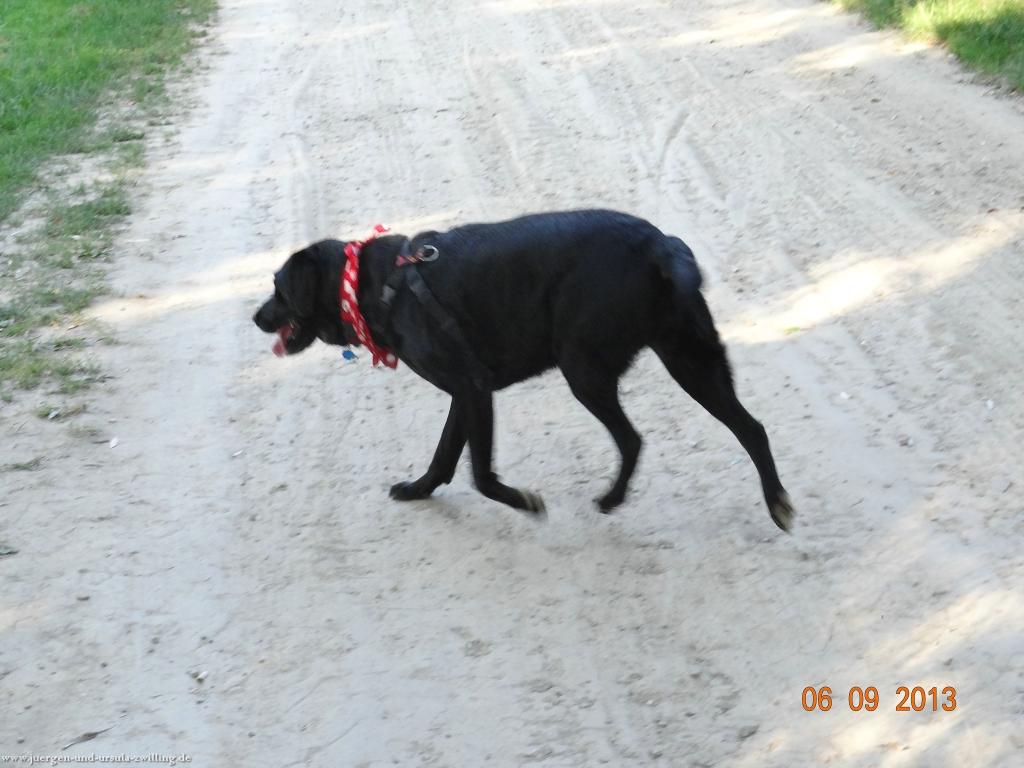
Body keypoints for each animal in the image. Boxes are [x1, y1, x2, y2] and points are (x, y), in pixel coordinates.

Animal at [253, 210, 794, 530]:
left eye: (278, 289)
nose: (256, 317)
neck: (378, 284)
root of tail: (657, 243)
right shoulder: (466, 394)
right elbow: (444, 457)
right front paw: (418, 490)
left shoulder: (474, 390)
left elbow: (479, 474)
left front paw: (523, 501)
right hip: (691, 360)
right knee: (752, 428)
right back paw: (777, 504)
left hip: (586, 370)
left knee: (634, 438)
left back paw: (612, 499)